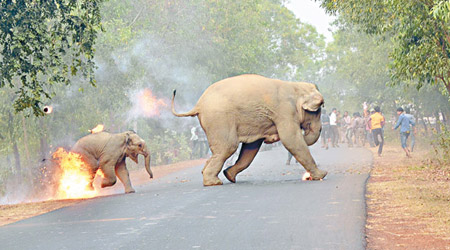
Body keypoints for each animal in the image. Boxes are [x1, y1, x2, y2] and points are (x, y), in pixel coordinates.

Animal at [172, 73, 326, 186]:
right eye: (318, 111)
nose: (305, 132)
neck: (295, 86)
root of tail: (198, 105)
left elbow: (251, 147)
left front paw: (229, 175)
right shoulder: (285, 111)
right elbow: (291, 139)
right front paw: (322, 175)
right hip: (219, 118)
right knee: (228, 147)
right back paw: (213, 183)